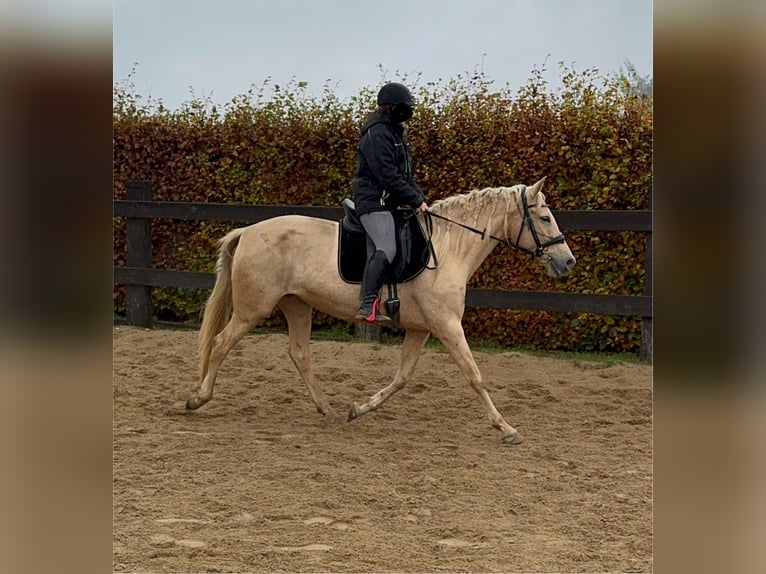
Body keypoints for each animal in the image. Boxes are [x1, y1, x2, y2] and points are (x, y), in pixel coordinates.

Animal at [188, 179, 576, 446]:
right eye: (544, 218)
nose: (568, 262)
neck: (447, 249)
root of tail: (248, 231)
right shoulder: (448, 326)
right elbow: (475, 375)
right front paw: (506, 428)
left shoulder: (421, 329)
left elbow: (402, 377)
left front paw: (358, 408)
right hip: (253, 310)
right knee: (221, 343)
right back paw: (197, 398)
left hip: (296, 305)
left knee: (299, 354)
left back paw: (329, 411)